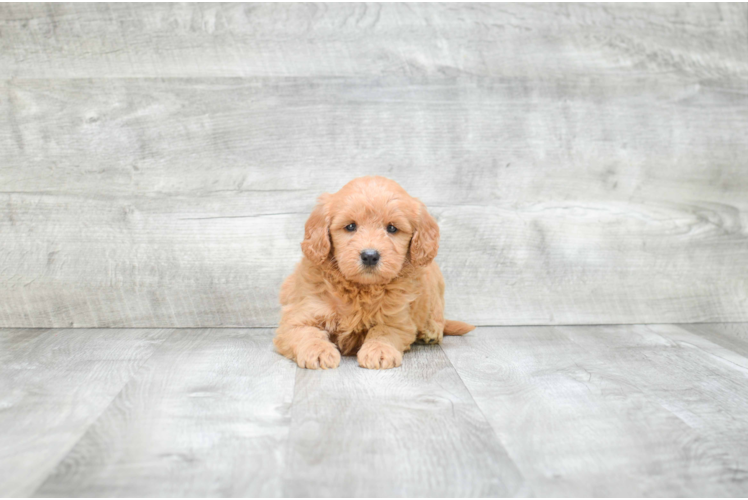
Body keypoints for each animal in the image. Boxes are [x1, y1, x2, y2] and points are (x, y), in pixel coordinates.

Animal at [274, 175, 474, 368]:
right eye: (350, 226)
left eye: (392, 228)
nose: (370, 256)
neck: (360, 289)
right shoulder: (299, 316)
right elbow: (307, 333)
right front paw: (318, 352)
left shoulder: (397, 320)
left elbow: (383, 331)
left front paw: (380, 351)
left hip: (434, 278)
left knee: (437, 312)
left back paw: (431, 332)